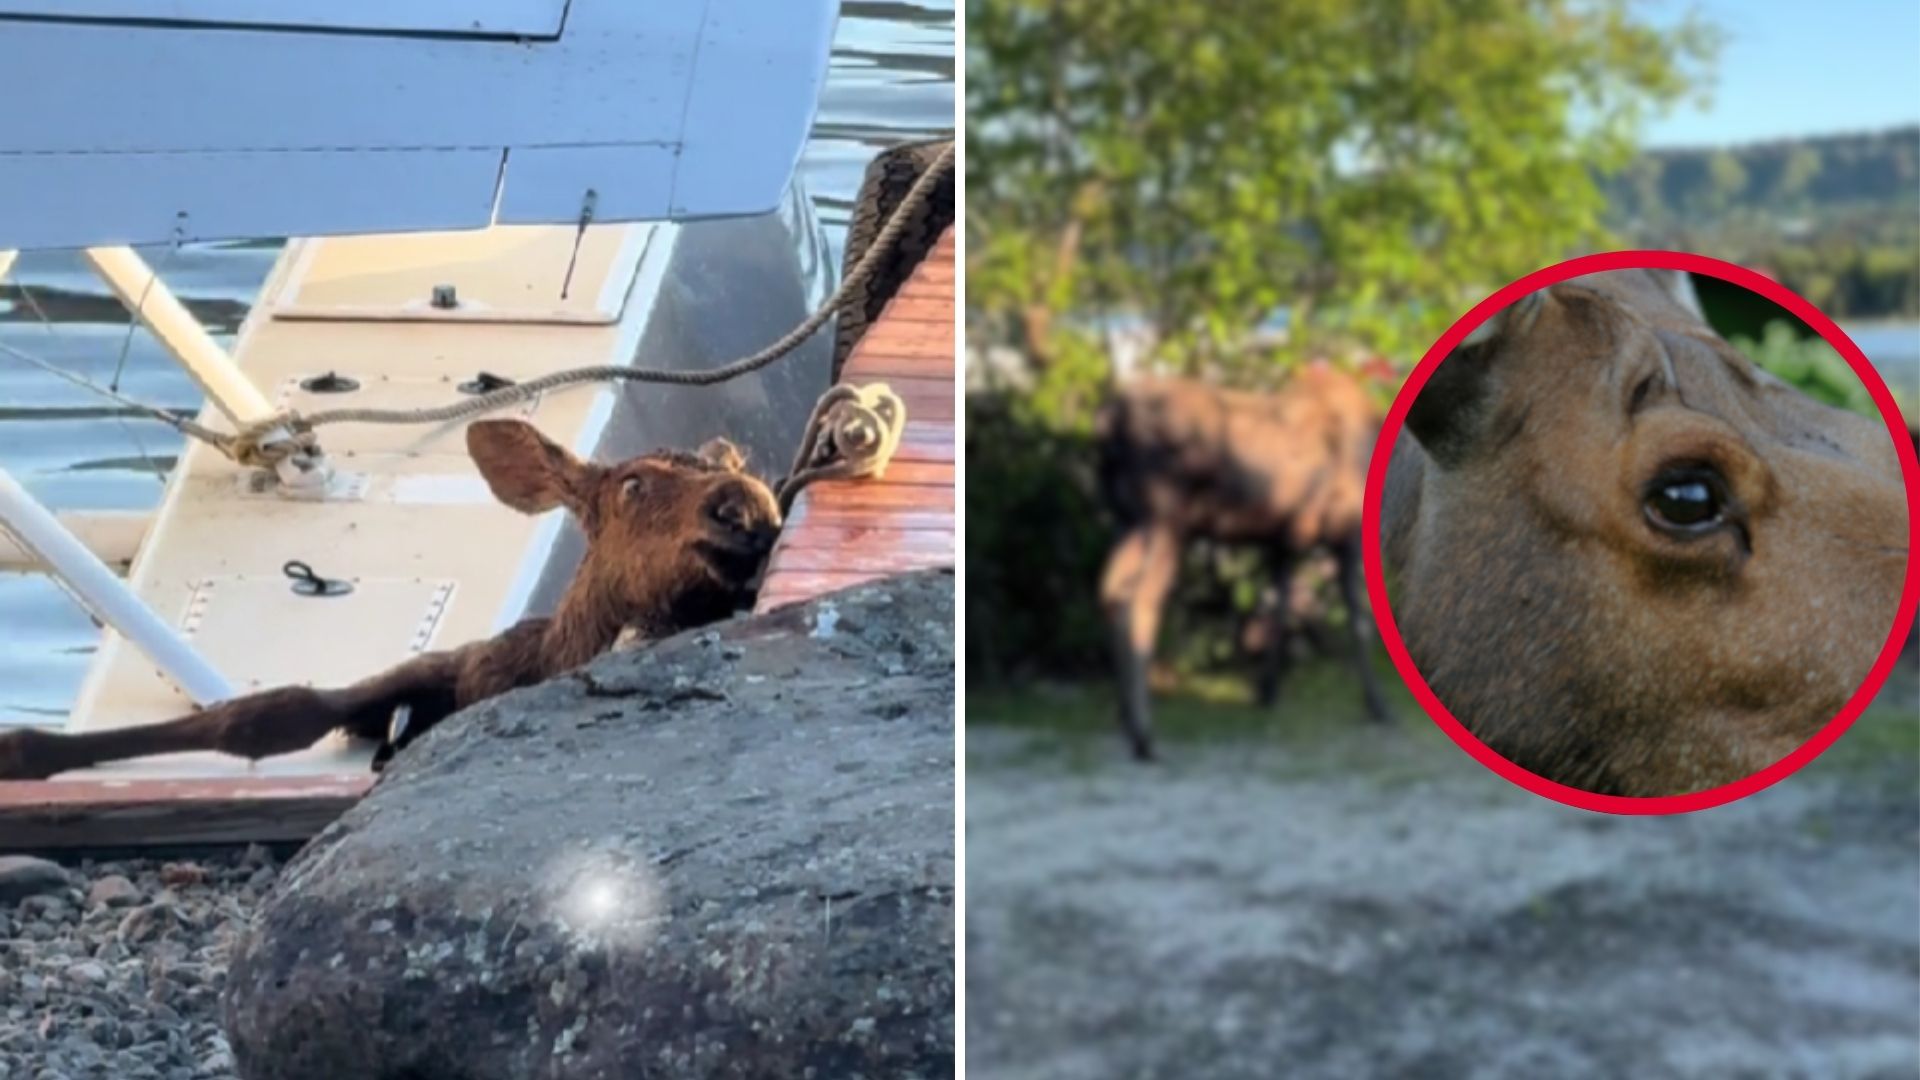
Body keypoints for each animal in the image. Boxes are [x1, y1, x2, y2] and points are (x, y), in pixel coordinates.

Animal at [0, 417, 783, 776]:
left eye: (731, 461)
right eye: (633, 485)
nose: (742, 503)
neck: (564, 653)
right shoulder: (450, 667)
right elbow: (269, 712)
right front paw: (24, 747)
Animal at [1098, 361, 1397, 757]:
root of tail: (1109, 422)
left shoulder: (1282, 540)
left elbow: (1280, 607)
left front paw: (1268, 690)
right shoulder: (1344, 532)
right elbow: (1360, 624)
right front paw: (1379, 707)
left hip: (1125, 520)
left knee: (1110, 592)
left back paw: (1122, 717)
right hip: (1164, 521)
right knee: (1138, 602)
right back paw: (1143, 737)